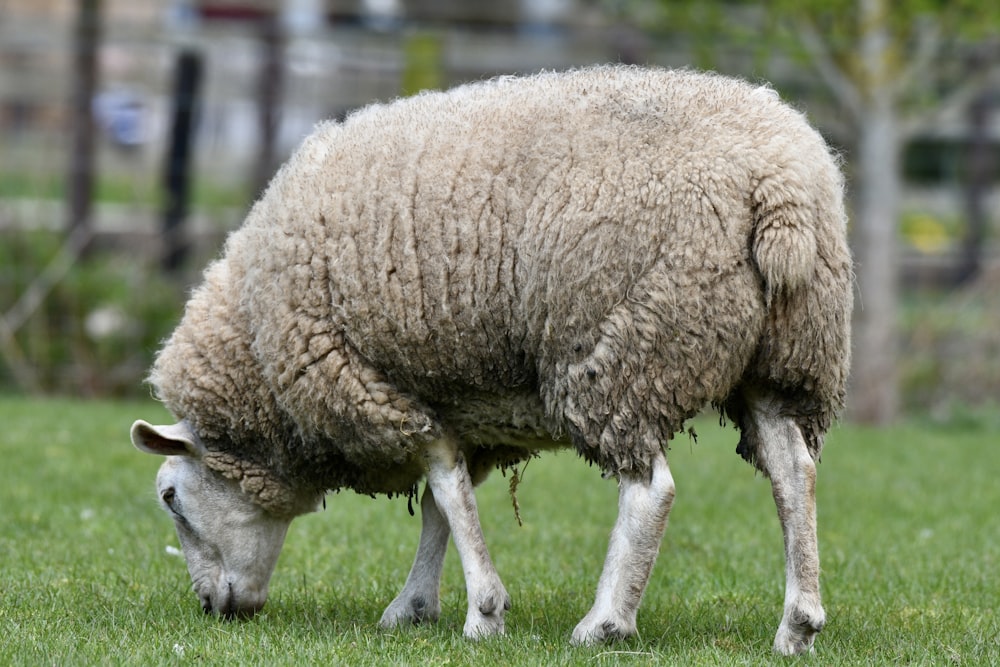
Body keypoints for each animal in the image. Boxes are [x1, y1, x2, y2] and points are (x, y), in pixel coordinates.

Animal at [131, 65, 852, 656]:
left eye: (170, 496)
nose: (211, 607)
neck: (257, 352)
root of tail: (781, 185)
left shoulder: (375, 384)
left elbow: (447, 490)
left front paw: (483, 611)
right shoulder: (453, 397)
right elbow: (439, 503)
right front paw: (415, 606)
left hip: (624, 346)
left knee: (652, 488)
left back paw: (606, 622)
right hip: (786, 361)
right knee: (795, 474)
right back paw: (798, 623)